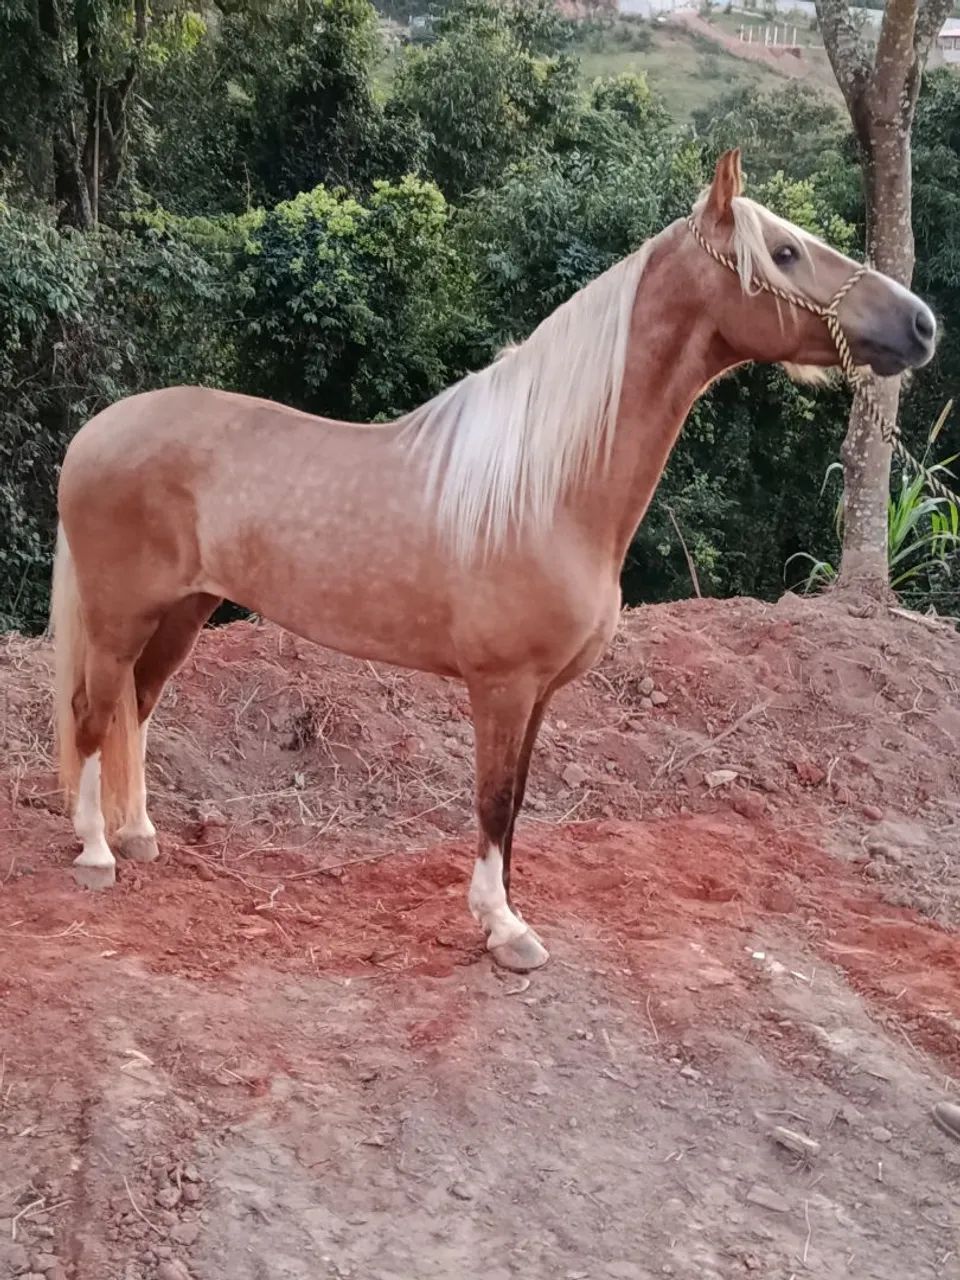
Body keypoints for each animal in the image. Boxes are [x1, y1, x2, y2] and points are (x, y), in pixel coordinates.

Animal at [50, 149, 936, 971]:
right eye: (783, 252)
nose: (922, 325)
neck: (548, 488)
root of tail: (96, 430)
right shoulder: (502, 685)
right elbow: (493, 799)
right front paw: (505, 931)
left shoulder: (540, 693)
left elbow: (515, 806)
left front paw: (506, 911)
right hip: (120, 616)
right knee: (94, 714)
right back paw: (95, 853)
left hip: (183, 612)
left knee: (137, 706)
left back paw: (139, 835)